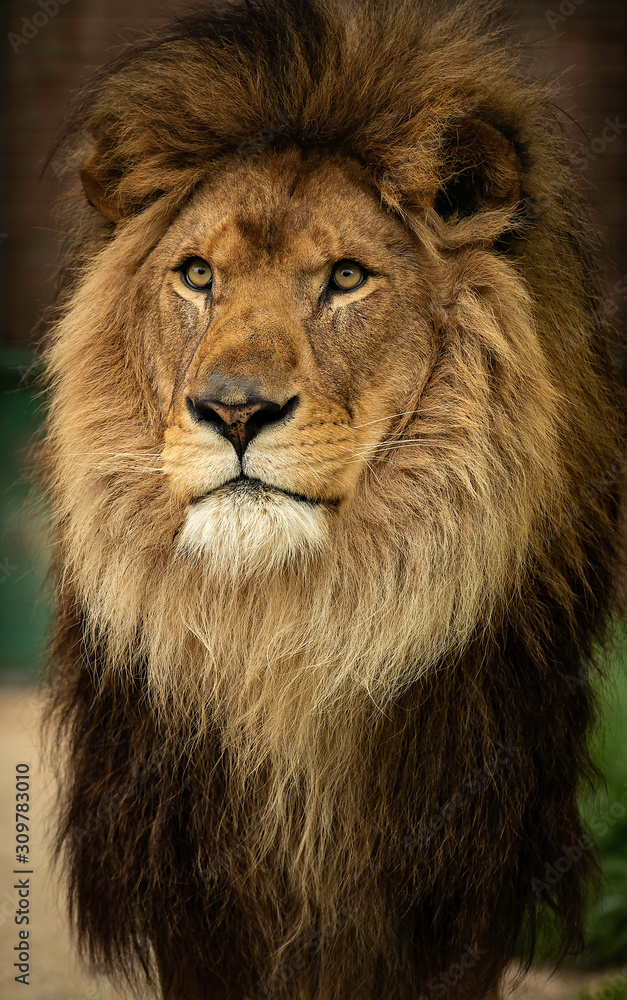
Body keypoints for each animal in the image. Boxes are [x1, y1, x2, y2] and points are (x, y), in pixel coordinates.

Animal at [42, 1, 625, 998]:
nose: (234, 409)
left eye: (346, 278)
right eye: (197, 275)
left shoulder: (462, 875)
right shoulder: (194, 893)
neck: (287, 630)